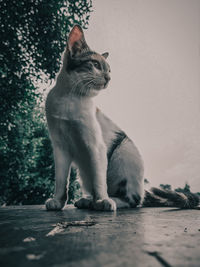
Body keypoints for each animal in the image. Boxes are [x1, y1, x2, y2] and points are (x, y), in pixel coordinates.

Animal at [44, 25, 199, 211]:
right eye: (95, 64)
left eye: (109, 70)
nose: (108, 78)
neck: (68, 98)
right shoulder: (60, 147)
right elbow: (61, 180)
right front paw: (58, 201)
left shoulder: (96, 146)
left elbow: (99, 181)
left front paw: (102, 200)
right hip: (87, 171)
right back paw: (87, 201)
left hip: (123, 150)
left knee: (132, 200)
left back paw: (107, 201)